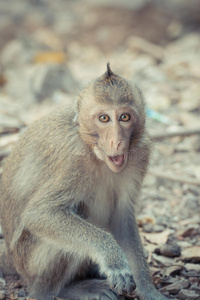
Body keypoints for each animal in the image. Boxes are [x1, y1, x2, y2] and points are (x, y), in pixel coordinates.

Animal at [0, 64, 170, 298]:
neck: (91, 147)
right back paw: (62, 290)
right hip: (30, 262)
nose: (116, 141)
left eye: (125, 117)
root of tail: (10, 258)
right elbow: (40, 214)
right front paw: (113, 260)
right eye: (104, 118)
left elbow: (122, 220)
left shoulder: (140, 156)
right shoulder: (74, 160)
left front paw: (148, 290)